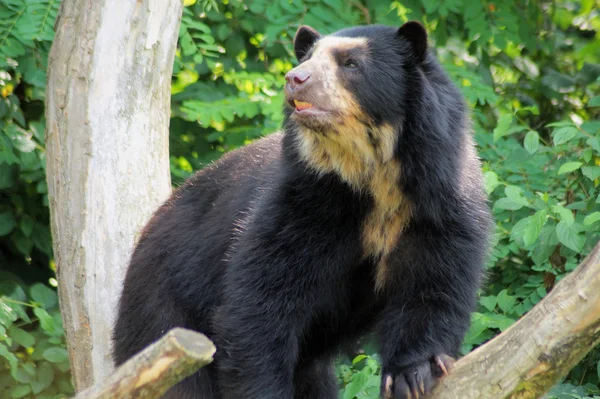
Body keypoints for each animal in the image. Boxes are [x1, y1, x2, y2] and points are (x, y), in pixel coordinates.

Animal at [112, 21, 492, 399]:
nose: (295, 78)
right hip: (163, 309)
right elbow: (260, 305)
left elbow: (430, 286)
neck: (372, 177)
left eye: (351, 64)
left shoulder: (440, 207)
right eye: (308, 58)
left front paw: (412, 374)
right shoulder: (302, 204)